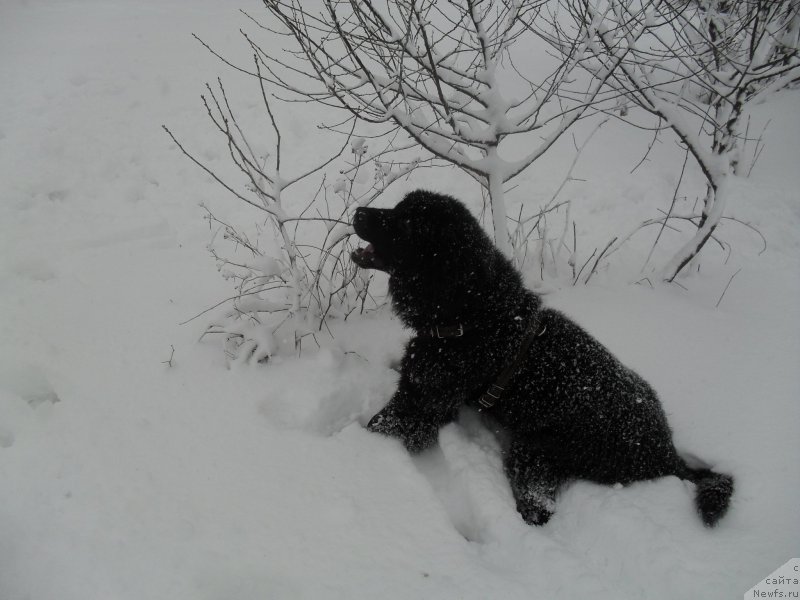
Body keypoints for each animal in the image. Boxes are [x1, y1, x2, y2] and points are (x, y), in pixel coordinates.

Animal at [354, 190, 736, 528]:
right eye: (399, 207)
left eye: (406, 223)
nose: (358, 211)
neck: (475, 315)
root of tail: (668, 454)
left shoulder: (421, 405)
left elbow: (377, 424)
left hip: (533, 453)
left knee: (539, 509)